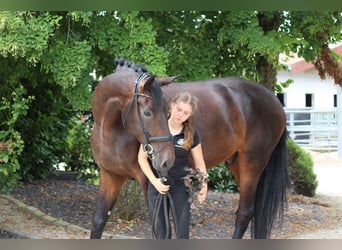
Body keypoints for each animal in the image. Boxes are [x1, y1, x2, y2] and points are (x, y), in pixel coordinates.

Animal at [89, 57, 290, 239]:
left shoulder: (149, 182)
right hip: (237, 164)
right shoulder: (110, 175)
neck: (108, 129)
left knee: (245, 212)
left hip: (252, 164)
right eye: (147, 113)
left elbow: (161, 231)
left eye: (167, 110)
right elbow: (98, 222)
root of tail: (275, 101)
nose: (166, 161)